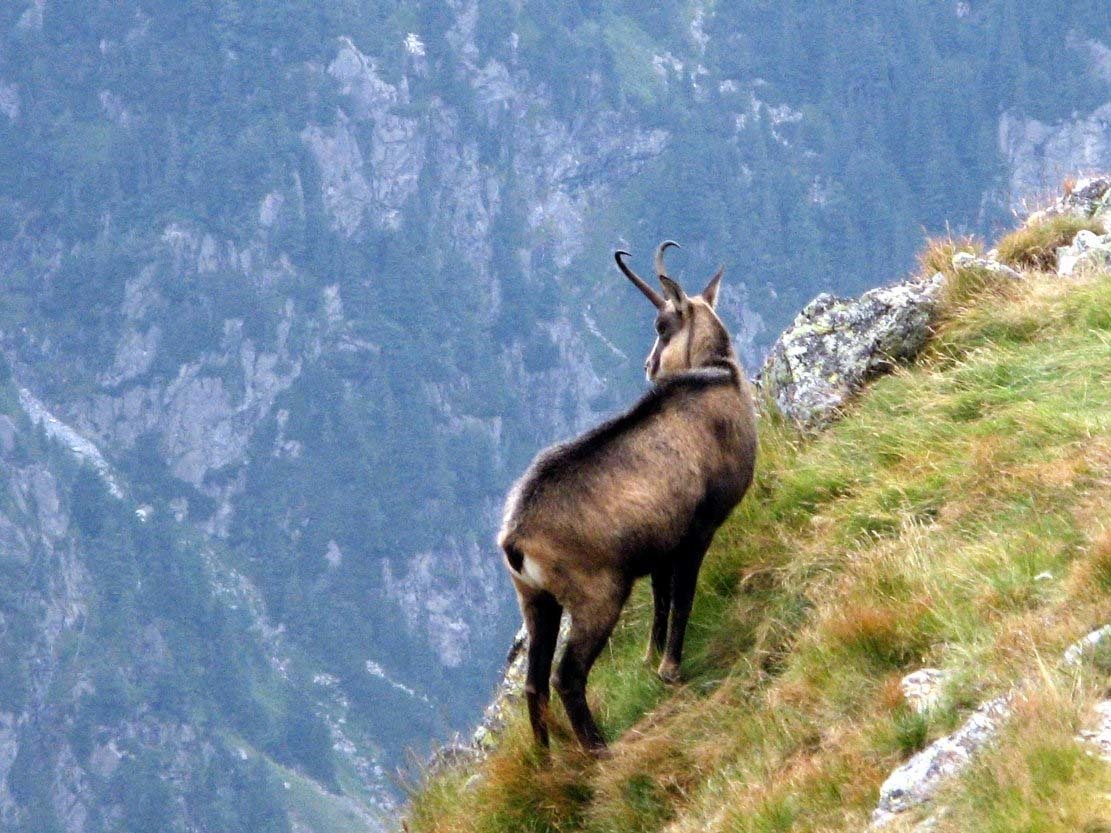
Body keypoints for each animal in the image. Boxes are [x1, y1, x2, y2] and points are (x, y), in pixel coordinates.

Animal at [497, 241, 758, 753]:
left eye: (661, 327)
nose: (648, 366)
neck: (717, 378)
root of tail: (515, 538)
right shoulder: (696, 531)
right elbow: (682, 596)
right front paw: (670, 668)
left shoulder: (660, 545)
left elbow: (660, 599)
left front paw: (650, 658)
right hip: (597, 594)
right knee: (566, 676)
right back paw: (598, 748)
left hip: (536, 600)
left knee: (534, 683)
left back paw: (546, 758)